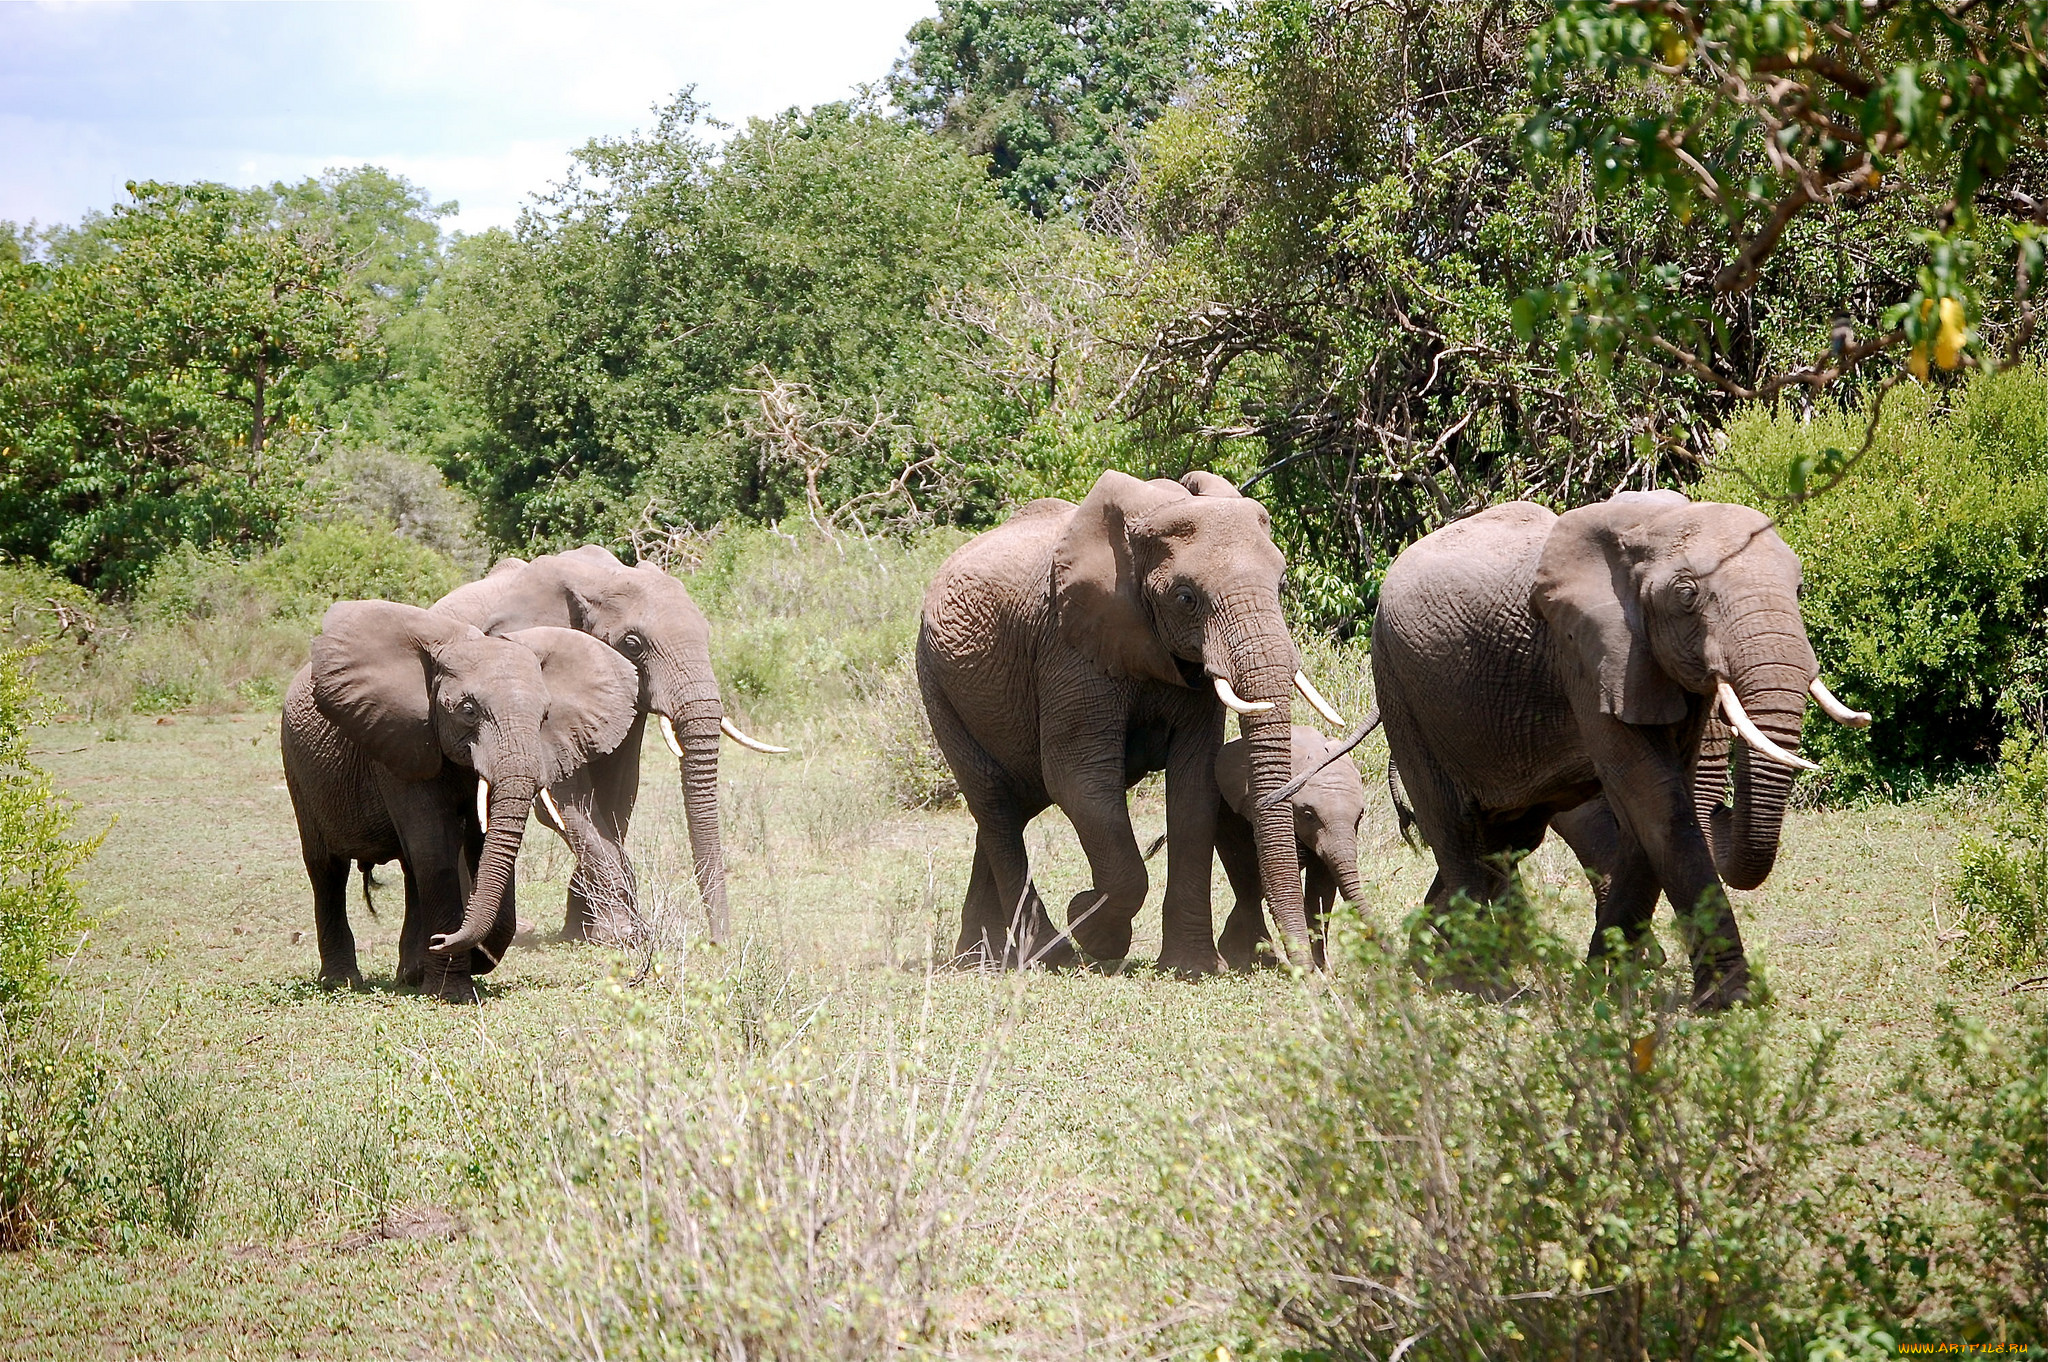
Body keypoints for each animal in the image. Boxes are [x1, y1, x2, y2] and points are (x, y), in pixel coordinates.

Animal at [276, 602, 634, 999]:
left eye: (545, 716)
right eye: (468, 711)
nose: (442, 940)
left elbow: (478, 847)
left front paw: (454, 962)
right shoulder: (401, 740)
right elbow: (434, 846)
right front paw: (453, 991)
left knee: (409, 869)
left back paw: (410, 974)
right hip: (299, 770)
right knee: (327, 869)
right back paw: (343, 981)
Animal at [428, 540, 786, 946]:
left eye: (707, 634)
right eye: (633, 644)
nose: (718, 941)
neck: (603, 579)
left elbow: (619, 792)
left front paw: (591, 930)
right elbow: (565, 802)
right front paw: (623, 932)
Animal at [913, 466, 1343, 966]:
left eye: (1281, 585)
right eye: (1185, 598)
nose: (1307, 970)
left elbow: (1195, 786)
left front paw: (1192, 969)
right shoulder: (1070, 649)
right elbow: (1079, 780)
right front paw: (1094, 929)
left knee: (1011, 806)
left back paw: (980, 959)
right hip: (936, 682)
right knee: (994, 803)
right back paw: (1047, 955)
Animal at [1204, 720, 1368, 966]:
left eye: (1360, 815)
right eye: (1308, 815)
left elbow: (1323, 883)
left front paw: (1322, 965)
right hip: (1223, 809)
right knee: (1243, 875)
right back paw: (1256, 957)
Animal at [1359, 493, 1875, 1003]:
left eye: (1799, 589)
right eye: (1686, 595)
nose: (1726, 810)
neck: (1657, 523)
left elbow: (1650, 810)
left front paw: (1603, 982)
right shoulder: (1588, 657)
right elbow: (1655, 799)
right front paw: (1730, 1000)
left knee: (1504, 840)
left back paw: (1439, 964)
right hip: (1401, 692)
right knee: (1455, 830)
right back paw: (1480, 985)